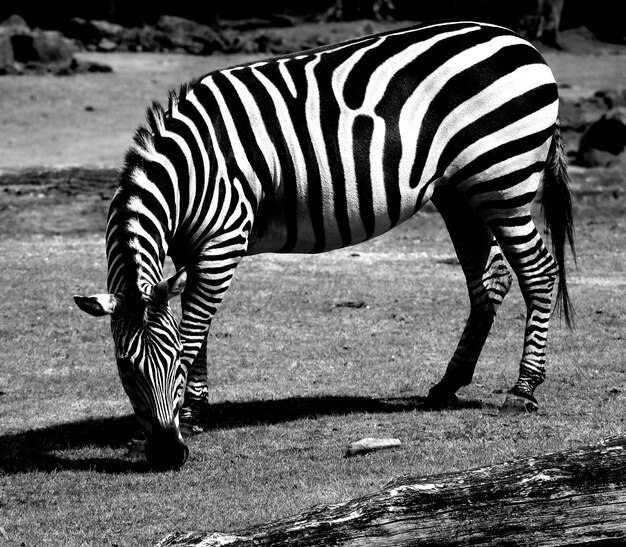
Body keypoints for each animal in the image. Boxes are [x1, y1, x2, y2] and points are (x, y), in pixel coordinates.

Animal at [72, 19, 572, 468]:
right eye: (123, 367)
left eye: (171, 361)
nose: (166, 455)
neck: (190, 171)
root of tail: (522, 43)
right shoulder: (188, 252)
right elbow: (199, 328)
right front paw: (194, 410)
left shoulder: (222, 242)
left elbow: (195, 330)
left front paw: (190, 412)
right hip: (459, 191)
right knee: (490, 279)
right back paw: (448, 384)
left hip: (502, 177)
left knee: (538, 272)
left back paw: (523, 390)